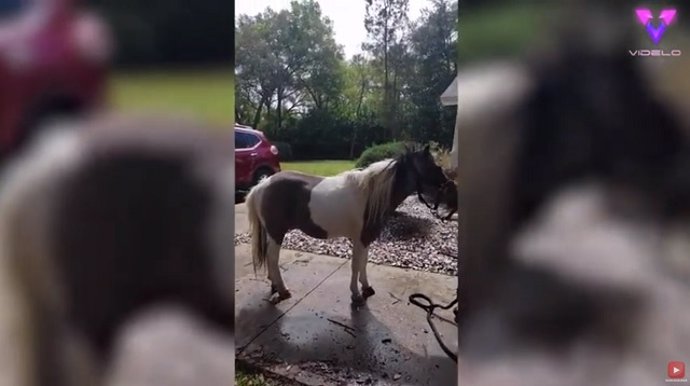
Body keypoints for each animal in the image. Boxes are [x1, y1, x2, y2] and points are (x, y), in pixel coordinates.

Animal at [245, 143, 448, 306]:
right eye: (432, 164)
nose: (447, 183)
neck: (370, 196)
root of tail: (262, 185)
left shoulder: (366, 239)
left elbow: (364, 263)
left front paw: (366, 287)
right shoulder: (359, 240)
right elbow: (356, 265)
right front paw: (356, 294)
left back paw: (274, 286)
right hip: (276, 232)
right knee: (273, 258)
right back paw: (283, 290)